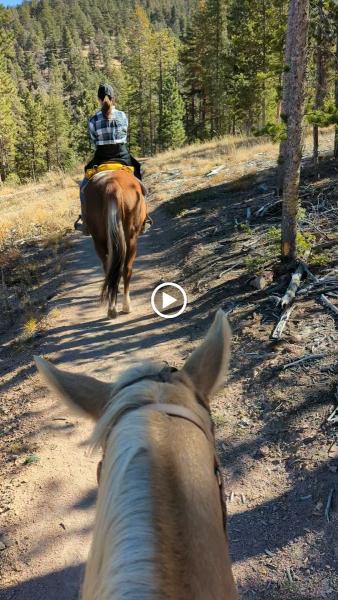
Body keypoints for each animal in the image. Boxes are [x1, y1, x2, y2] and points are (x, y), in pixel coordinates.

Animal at [83, 169, 147, 318]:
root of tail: (112, 186)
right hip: (131, 238)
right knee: (126, 268)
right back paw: (126, 306)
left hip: (99, 239)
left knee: (109, 267)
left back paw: (111, 307)